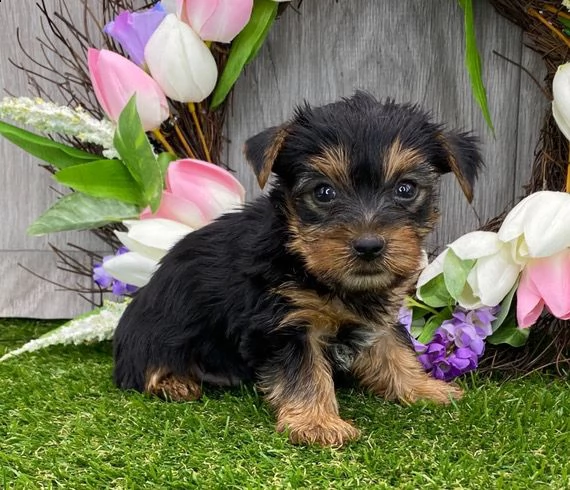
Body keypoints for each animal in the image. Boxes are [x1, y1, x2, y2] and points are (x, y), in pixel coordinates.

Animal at [113, 93, 482, 448]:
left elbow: (395, 349)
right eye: (324, 192)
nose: (369, 245)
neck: (304, 258)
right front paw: (317, 425)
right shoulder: (285, 323)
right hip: (153, 336)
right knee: (141, 369)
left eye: (405, 189)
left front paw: (424, 387)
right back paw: (174, 383)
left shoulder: (377, 319)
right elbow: (305, 374)